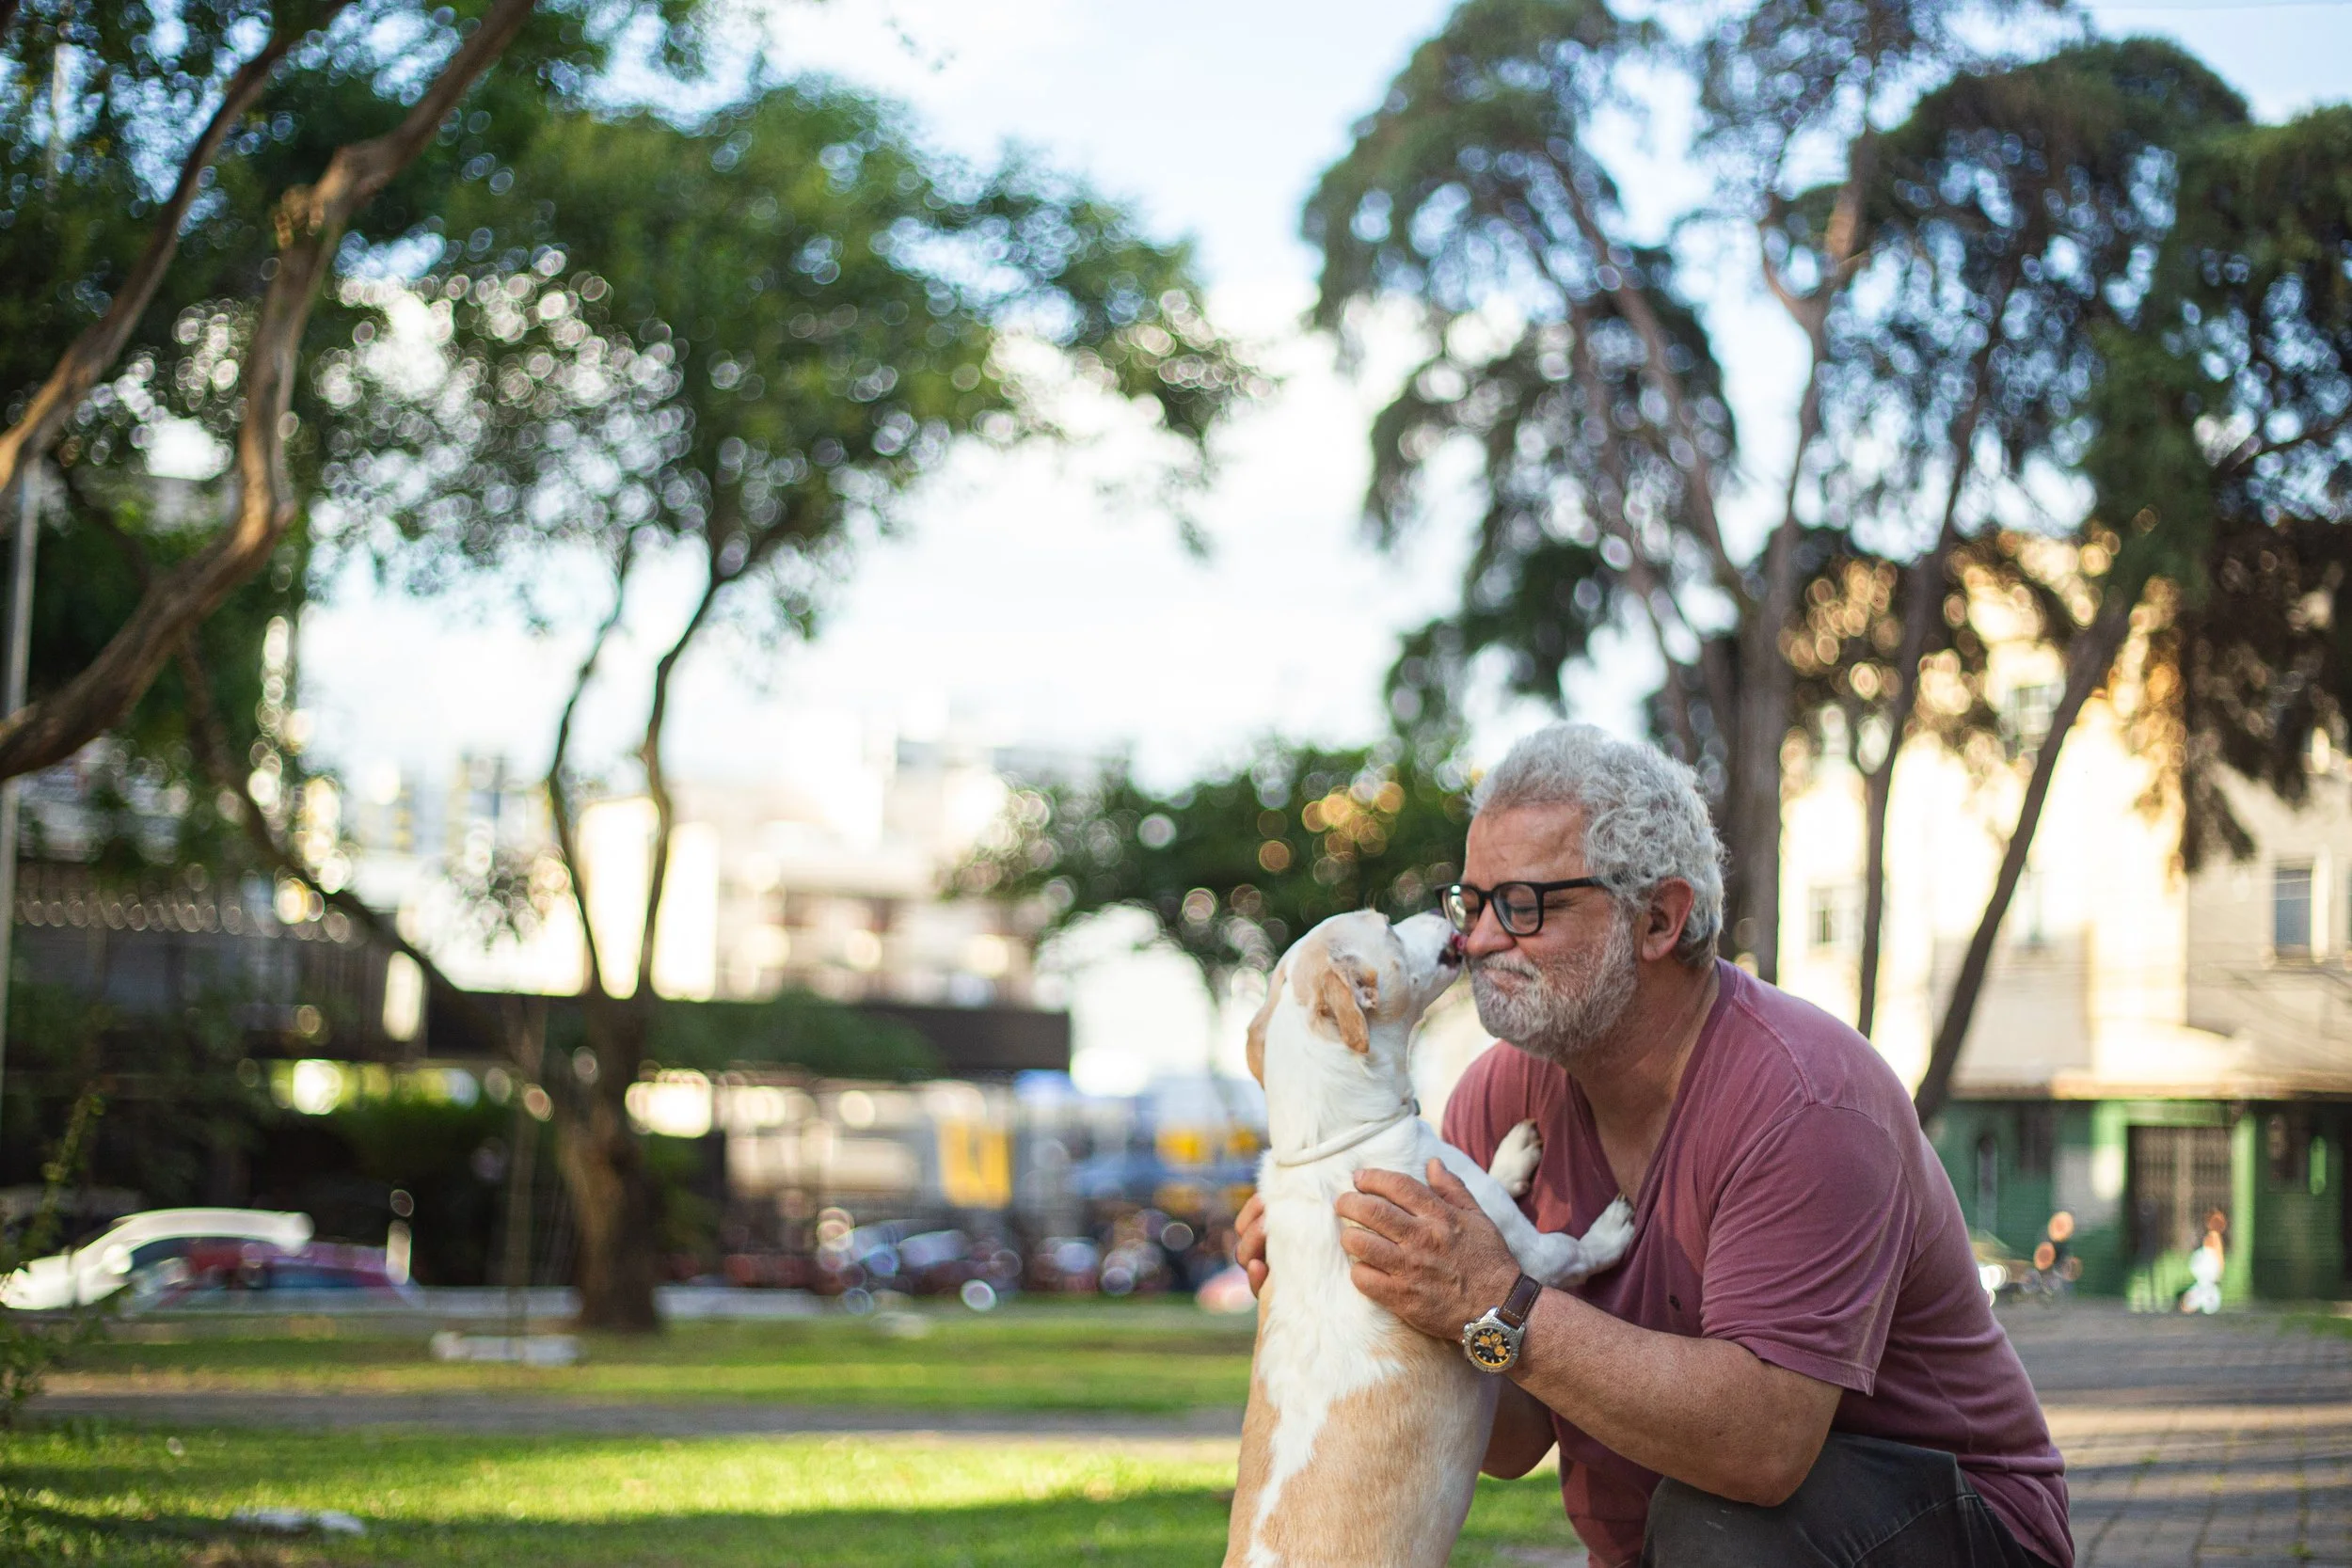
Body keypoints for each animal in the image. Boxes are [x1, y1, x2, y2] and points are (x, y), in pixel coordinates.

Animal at [1224, 909, 1634, 1568]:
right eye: (1386, 926)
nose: (1441, 910)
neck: (1332, 1141)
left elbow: (1485, 1171)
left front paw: (1514, 1153)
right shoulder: (1530, 1250)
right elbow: (1569, 1249)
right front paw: (1611, 1231)